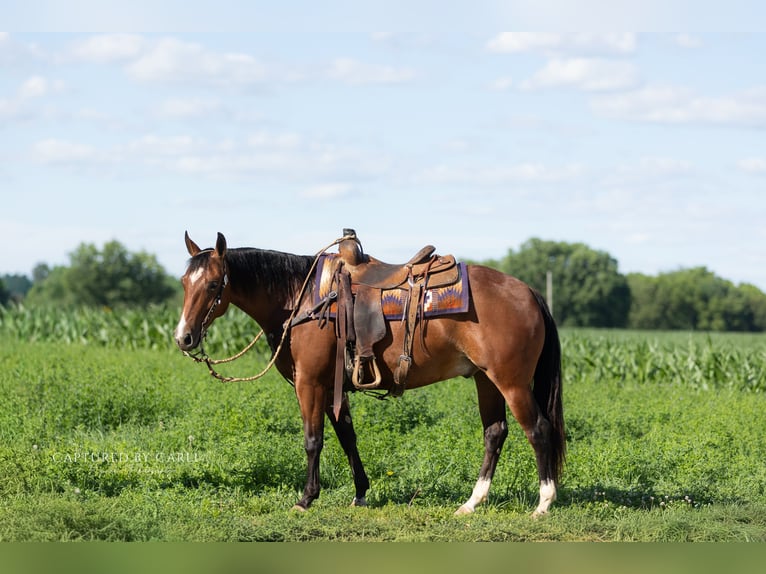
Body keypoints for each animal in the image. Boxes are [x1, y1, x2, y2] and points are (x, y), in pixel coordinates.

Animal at [174, 231, 565, 516]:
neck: (301, 298)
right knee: (495, 433)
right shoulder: (333, 386)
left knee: (538, 429)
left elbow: (313, 440)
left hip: (511, 382)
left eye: (213, 285)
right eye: (183, 282)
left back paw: (543, 503)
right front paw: (360, 493)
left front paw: (305, 499)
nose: (184, 337)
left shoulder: (309, 383)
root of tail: (530, 292)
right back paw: (472, 502)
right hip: (486, 380)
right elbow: (347, 437)